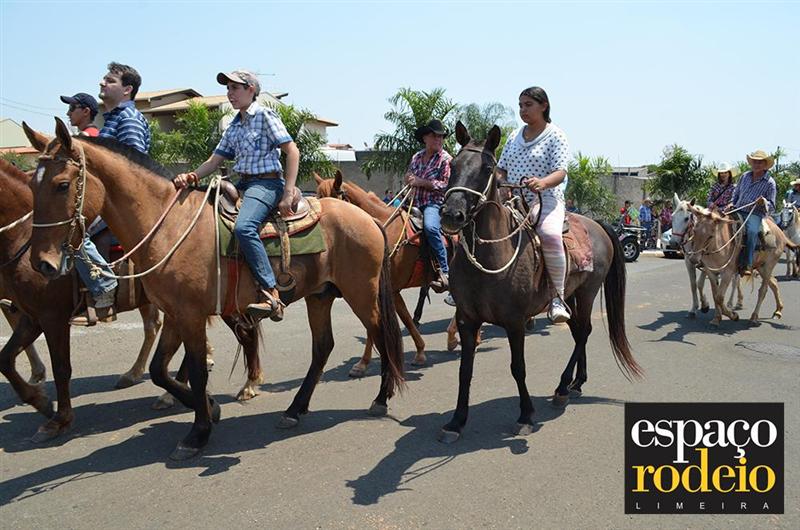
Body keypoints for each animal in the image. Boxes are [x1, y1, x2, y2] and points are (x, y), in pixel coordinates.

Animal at [0, 157, 173, 442]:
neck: (23, 241)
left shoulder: (53, 318)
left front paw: (59, 419)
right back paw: (136, 375)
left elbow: (62, 368)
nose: (45, 264)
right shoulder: (32, 317)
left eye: (62, 186)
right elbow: (6, 359)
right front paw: (41, 402)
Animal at [24, 118, 404, 460]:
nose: (41, 263)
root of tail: (368, 218)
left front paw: (198, 432)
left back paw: (381, 398)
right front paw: (208, 408)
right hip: (320, 295)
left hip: (360, 293)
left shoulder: (191, 316)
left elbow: (194, 369)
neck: (168, 226)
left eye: (61, 184)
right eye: (31, 185)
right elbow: (160, 370)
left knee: (381, 333)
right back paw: (295, 409)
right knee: (323, 347)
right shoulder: (175, 314)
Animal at [436, 122, 642, 442]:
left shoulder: (515, 322)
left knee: (584, 331)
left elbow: (518, 367)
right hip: (569, 295)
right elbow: (464, 370)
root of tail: (598, 225)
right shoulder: (467, 320)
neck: (491, 259)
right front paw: (457, 422)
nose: (451, 215)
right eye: (453, 166)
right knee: (578, 331)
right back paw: (576, 383)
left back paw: (562, 387)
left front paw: (525, 415)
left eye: (486, 168)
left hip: (587, 292)